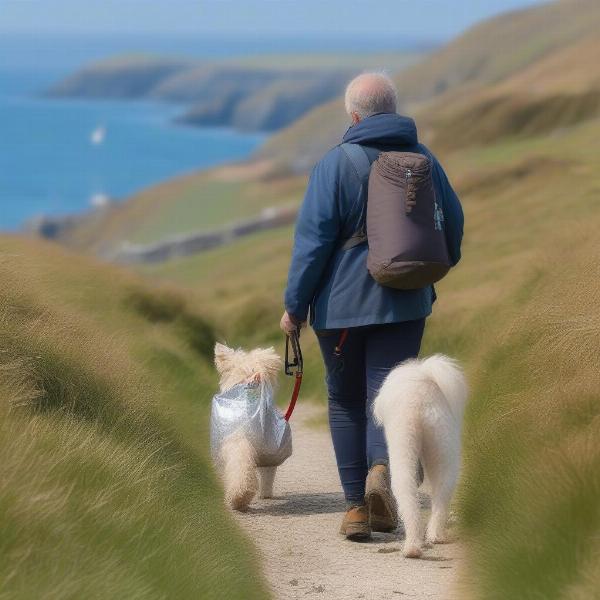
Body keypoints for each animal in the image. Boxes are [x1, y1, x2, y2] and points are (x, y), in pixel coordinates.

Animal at [372, 356, 466, 556]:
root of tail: (421, 402)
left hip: (402, 447)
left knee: (407, 497)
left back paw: (412, 547)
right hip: (443, 449)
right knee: (441, 496)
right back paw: (433, 537)